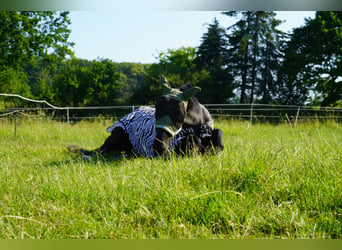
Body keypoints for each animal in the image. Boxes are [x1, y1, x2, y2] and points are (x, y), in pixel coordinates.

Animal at [69, 75, 224, 159]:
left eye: (178, 114)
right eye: (156, 110)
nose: (158, 148)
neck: (201, 127)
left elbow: (217, 138)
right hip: (117, 134)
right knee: (100, 152)